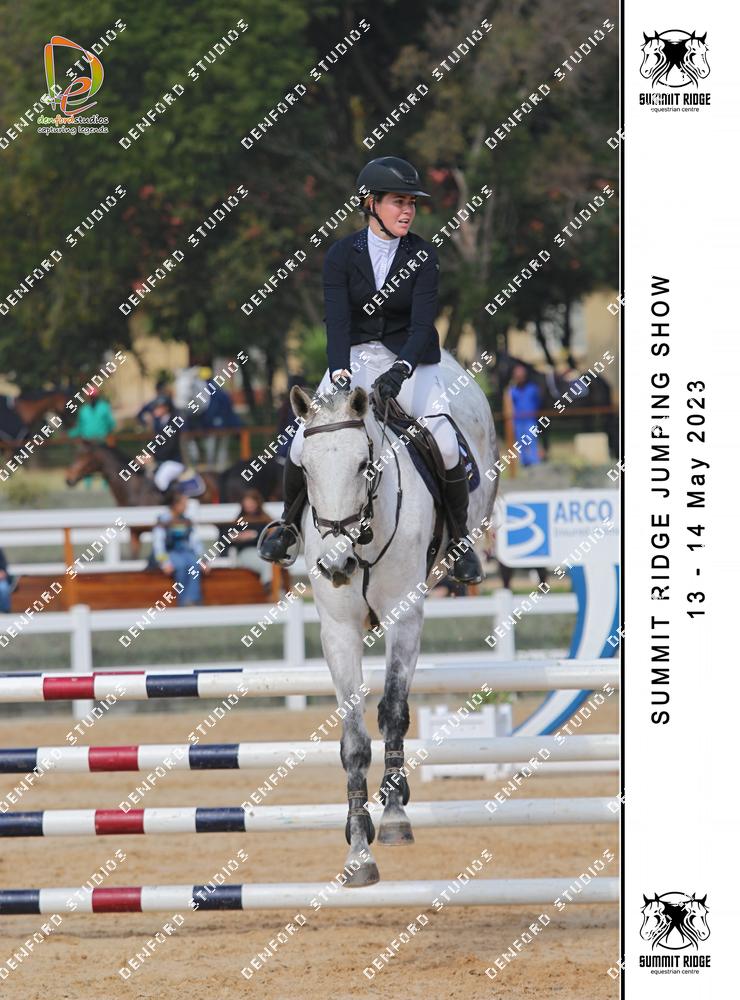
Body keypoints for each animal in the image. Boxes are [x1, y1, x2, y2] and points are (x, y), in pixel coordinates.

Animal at [288, 350, 498, 886]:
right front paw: (358, 846)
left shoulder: (405, 616)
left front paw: (395, 815)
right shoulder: (338, 630)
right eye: (306, 471)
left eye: (364, 465)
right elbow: (354, 739)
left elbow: (394, 711)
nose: (336, 565)